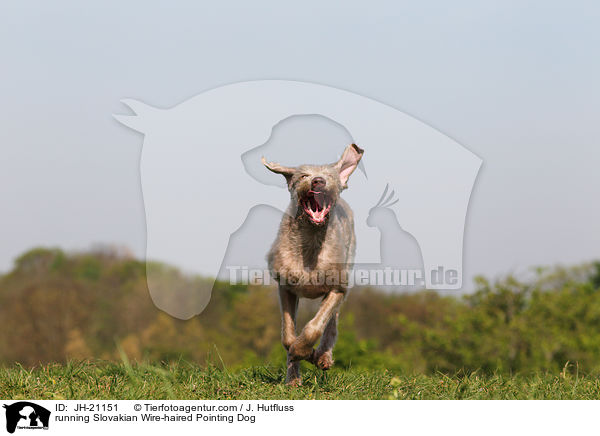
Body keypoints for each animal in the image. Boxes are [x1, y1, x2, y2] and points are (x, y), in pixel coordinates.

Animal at [262, 144, 364, 384]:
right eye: (303, 176)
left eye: (330, 176)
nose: (318, 181)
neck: (310, 241)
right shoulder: (285, 286)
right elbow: (288, 335)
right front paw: (295, 369)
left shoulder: (338, 288)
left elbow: (315, 328)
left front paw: (310, 354)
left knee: (332, 323)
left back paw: (323, 356)